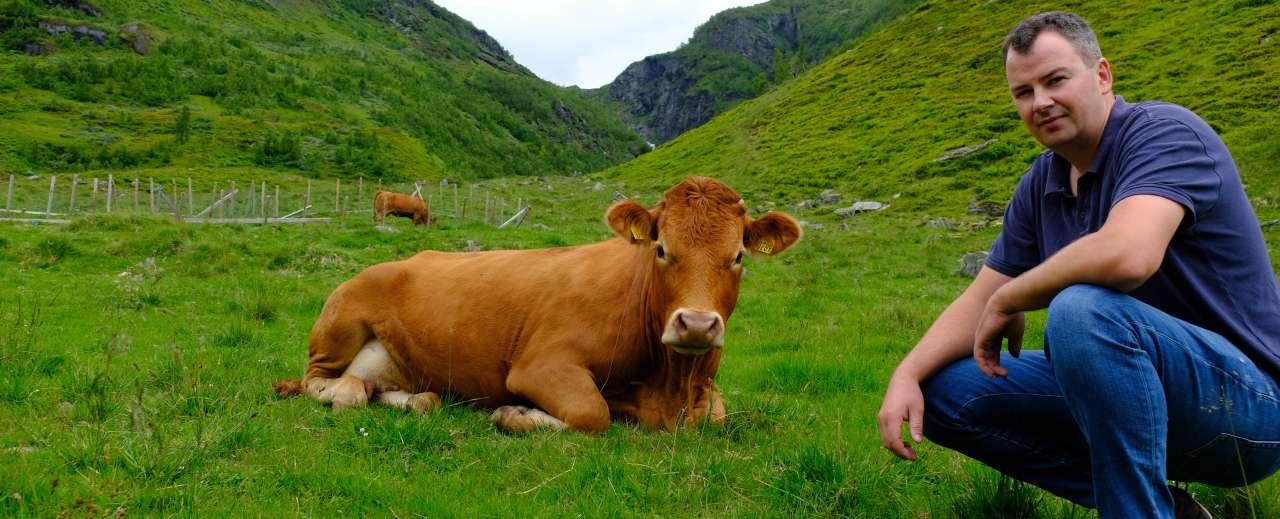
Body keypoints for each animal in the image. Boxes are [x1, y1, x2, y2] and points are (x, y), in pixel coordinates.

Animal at [275, 175, 798, 430]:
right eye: (662, 249)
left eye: (738, 256)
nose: (696, 324)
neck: (670, 386)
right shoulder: (540, 366)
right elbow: (593, 414)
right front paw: (516, 415)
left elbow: (716, 417)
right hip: (339, 327)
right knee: (321, 383)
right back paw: (345, 391)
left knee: (404, 395)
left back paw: (411, 398)